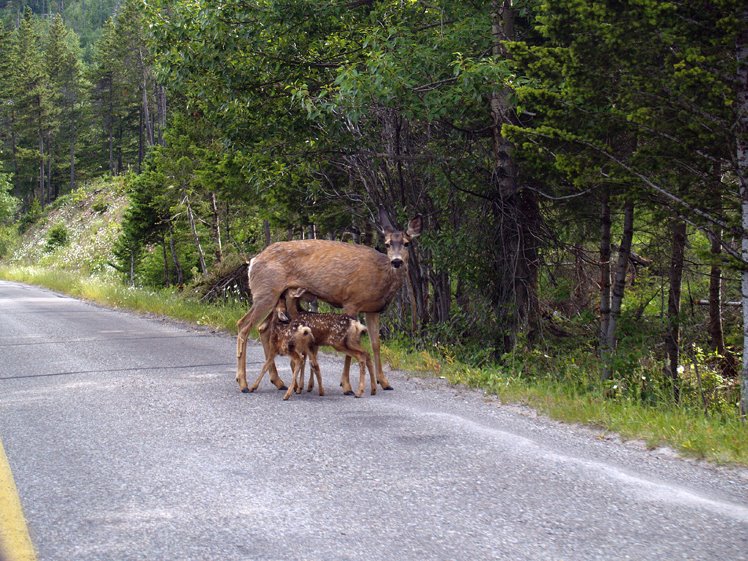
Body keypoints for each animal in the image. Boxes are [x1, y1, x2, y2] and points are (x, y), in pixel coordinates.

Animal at [235, 207, 420, 394]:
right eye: (387, 243)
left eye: (407, 243)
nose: (396, 261)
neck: (382, 277)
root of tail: (253, 262)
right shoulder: (351, 301)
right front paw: (346, 385)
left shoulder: (373, 309)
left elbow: (376, 343)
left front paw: (384, 382)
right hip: (265, 292)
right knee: (244, 325)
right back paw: (243, 383)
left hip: (276, 298)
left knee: (263, 328)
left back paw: (278, 382)